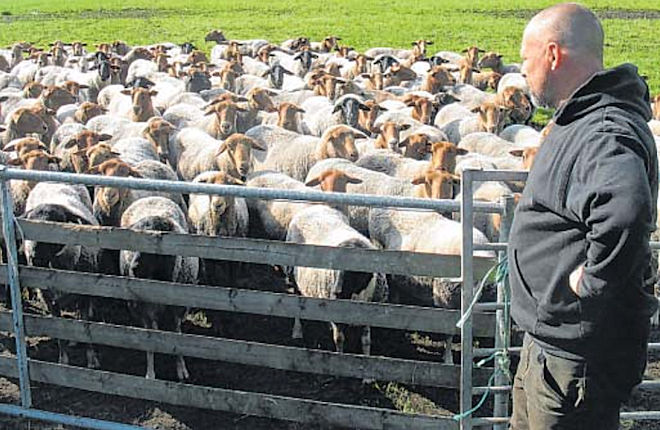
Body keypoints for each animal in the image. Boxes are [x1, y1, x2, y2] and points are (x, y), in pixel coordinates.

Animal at [23, 182, 101, 369]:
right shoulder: (49, 300)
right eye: (30, 227)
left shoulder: (84, 294)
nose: (34, 258)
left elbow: (86, 329)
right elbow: (59, 331)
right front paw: (63, 360)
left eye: (55, 225)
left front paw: (91, 359)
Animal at [120, 196, 199, 380]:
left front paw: (181, 369)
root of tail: (150, 198)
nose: (133, 268)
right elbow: (150, 339)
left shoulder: (177, 310)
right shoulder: (143, 311)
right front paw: (150, 373)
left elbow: (176, 335)